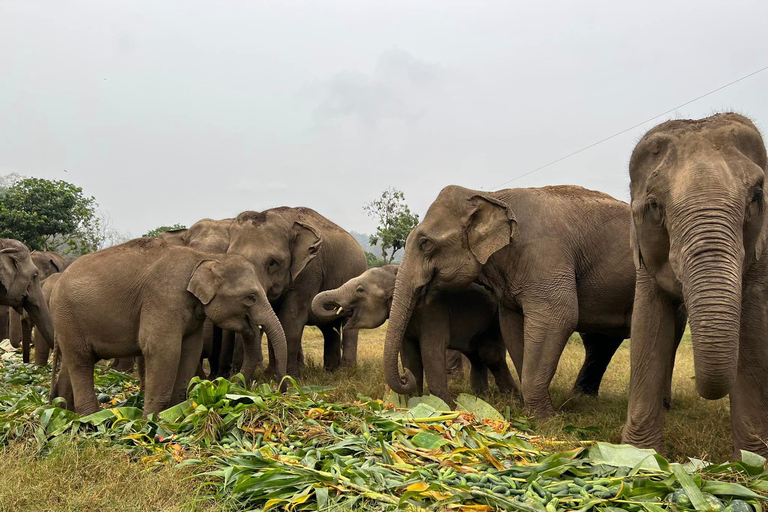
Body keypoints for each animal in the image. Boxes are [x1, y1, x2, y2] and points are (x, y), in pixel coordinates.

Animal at [48, 239, 288, 416]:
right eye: (250, 297)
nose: (282, 389)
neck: (202, 257)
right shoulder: (163, 298)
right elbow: (163, 349)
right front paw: (150, 422)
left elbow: (190, 350)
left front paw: (174, 415)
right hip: (67, 316)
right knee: (81, 361)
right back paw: (91, 419)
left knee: (72, 362)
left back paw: (64, 412)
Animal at [226, 205, 368, 376]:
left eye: (272, 263)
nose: (233, 373)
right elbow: (275, 321)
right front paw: (271, 374)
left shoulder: (310, 272)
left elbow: (290, 318)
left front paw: (288, 376)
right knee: (329, 328)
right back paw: (330, 372)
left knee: (348, 325)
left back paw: (345, 372)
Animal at [308, 264, 520, 404]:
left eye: (360, 289)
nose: (404, 376)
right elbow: (409, 354)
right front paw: (412, 403)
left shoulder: (433, 312)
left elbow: (430, 353)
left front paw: (447, 408)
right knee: (477, 356)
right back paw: (480, 398)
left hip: (493, 322)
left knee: (490, 355)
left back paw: (511, 400)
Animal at [384, 186, 640, 418]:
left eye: (425, 243)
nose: (406, 375)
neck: (491, 195)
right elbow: (511, 327)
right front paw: (532, 412)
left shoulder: (545, 258)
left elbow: (560, 317)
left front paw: (545, 420)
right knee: (602, 343)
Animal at [620, 112, 768, 456]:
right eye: (655, 205)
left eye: (756, 196)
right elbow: (648, 324)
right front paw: (638, 456)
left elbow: (753, 331)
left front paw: (752, 460)